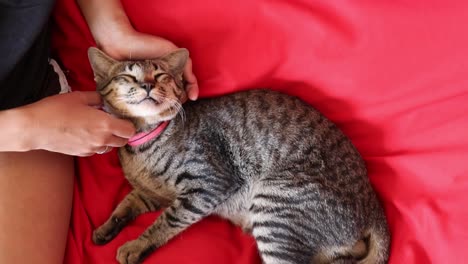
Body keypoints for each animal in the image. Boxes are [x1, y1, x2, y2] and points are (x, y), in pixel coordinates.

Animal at [88, 47, 392, 264]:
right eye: (127, 76)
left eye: (161, 75)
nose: (148, 85)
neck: (142, 146)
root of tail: (373, 205)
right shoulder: (152, 194)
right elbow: (126, 204)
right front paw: (106, 229)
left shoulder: (209, 184)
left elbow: (168, 220)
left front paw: (135, 245)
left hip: (276, 205)